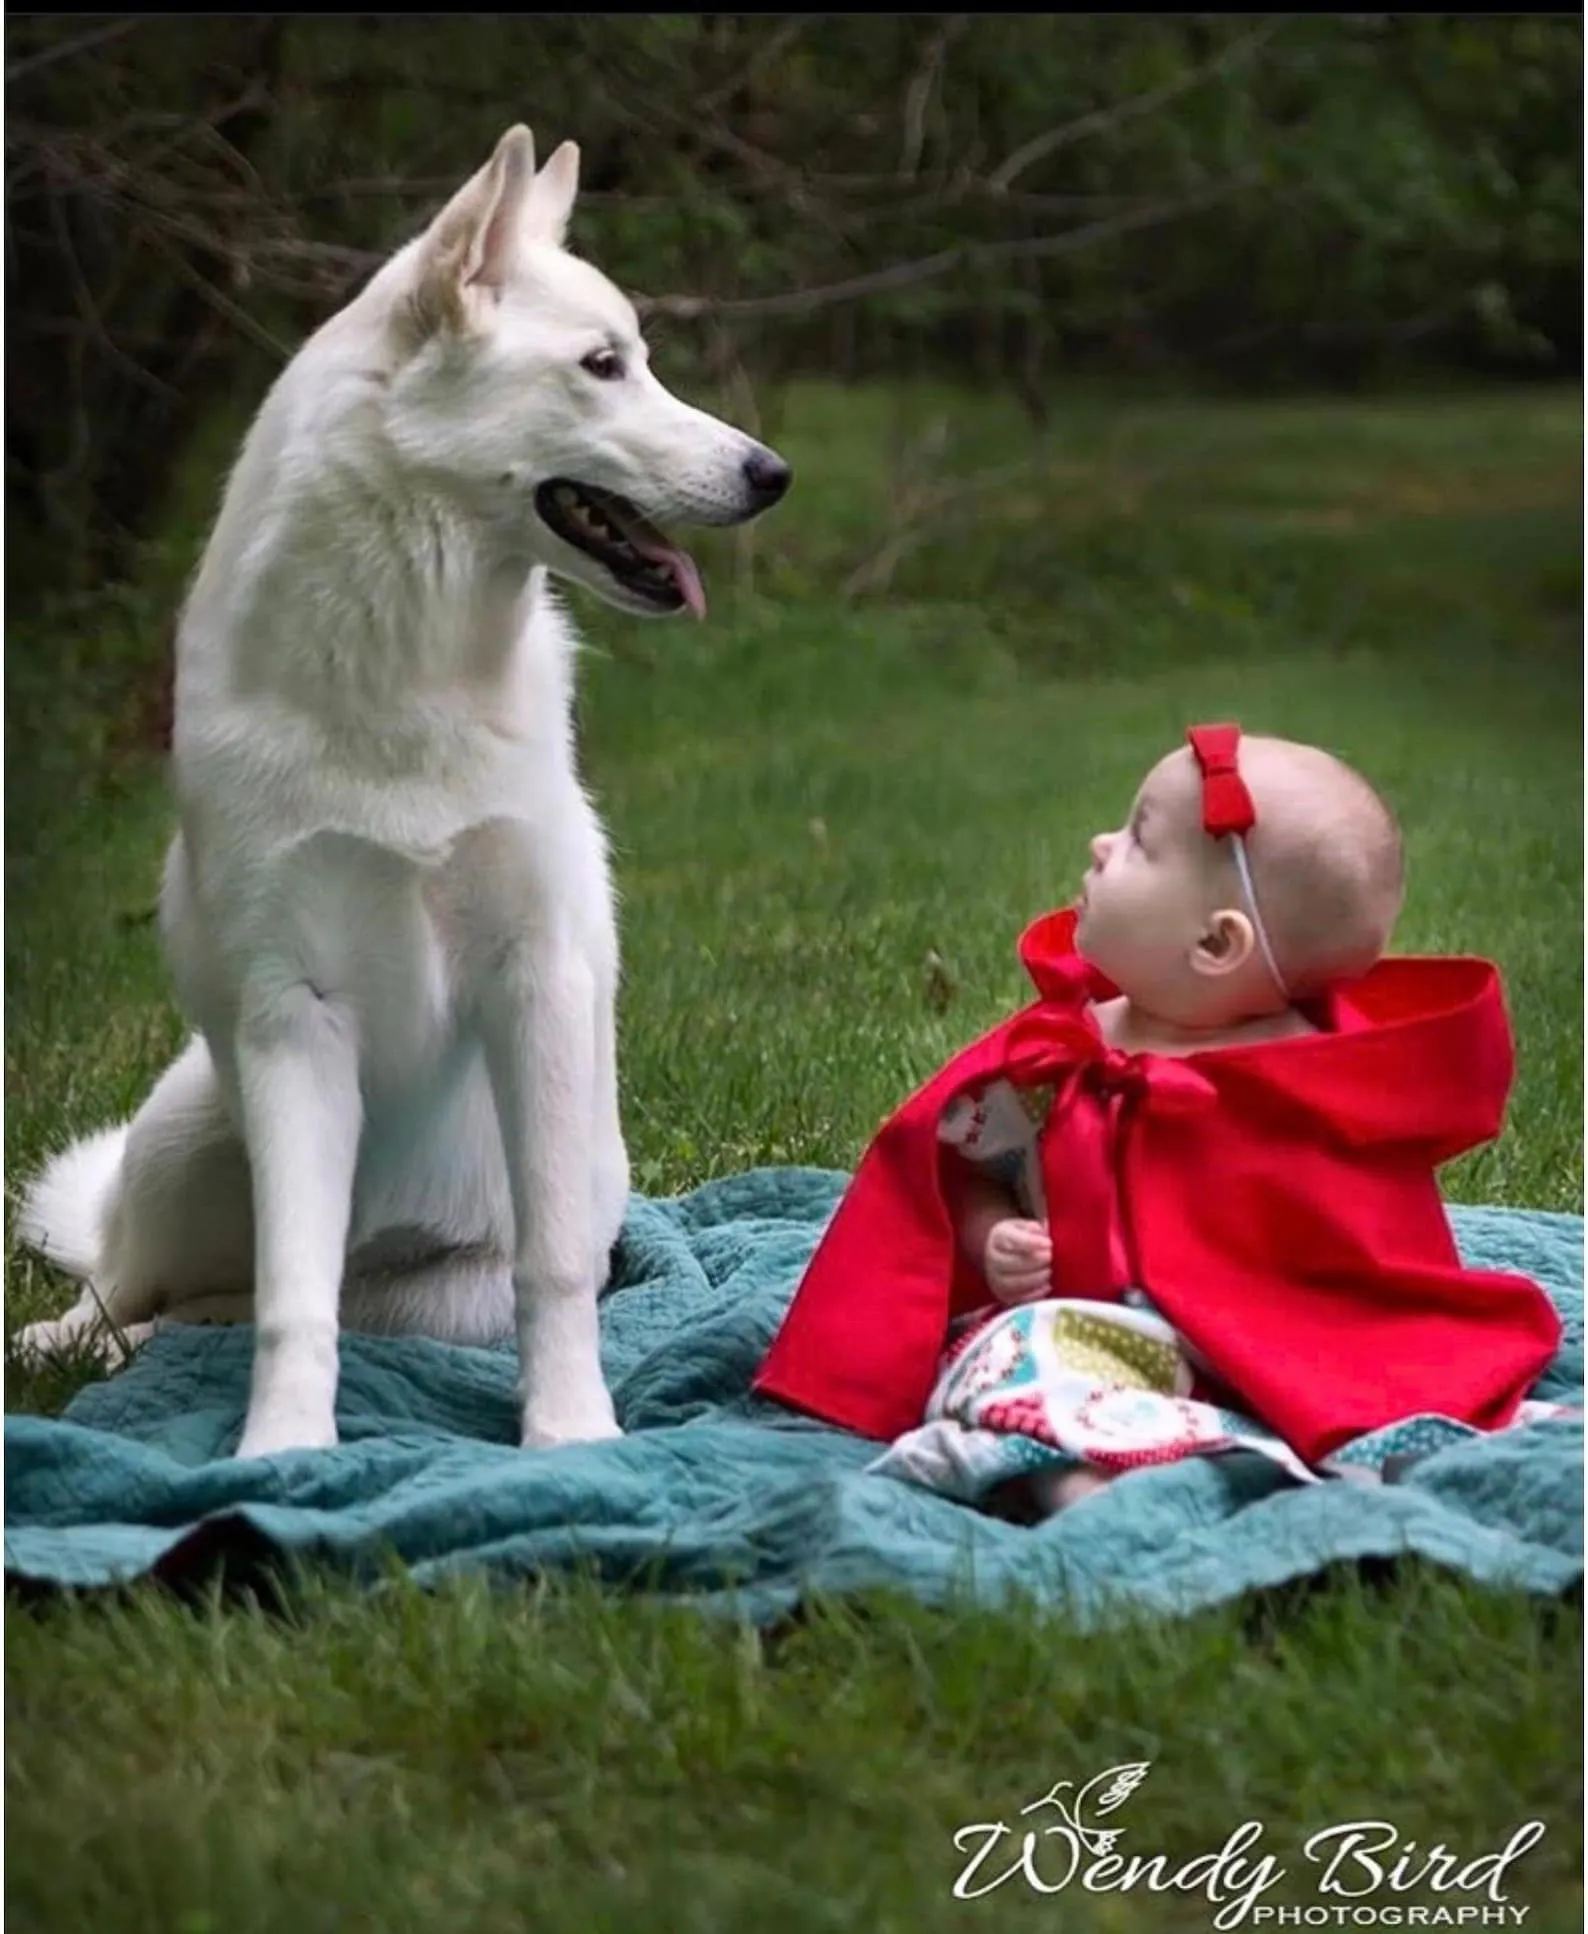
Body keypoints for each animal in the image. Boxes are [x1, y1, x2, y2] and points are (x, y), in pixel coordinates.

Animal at [13, 128, 793, 1454]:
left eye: (635, 357)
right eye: (602, 366)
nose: (770, 472)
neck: (403, 680)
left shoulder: (535, 984)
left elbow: (554, 1274)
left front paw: (571, 1435)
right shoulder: (296, 1018)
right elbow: (293, 1297)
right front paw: (281, 1450)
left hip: (438, 1294)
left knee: (212, 1312)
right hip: (185, 1134)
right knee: (139, 1284)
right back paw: (66, 1344)